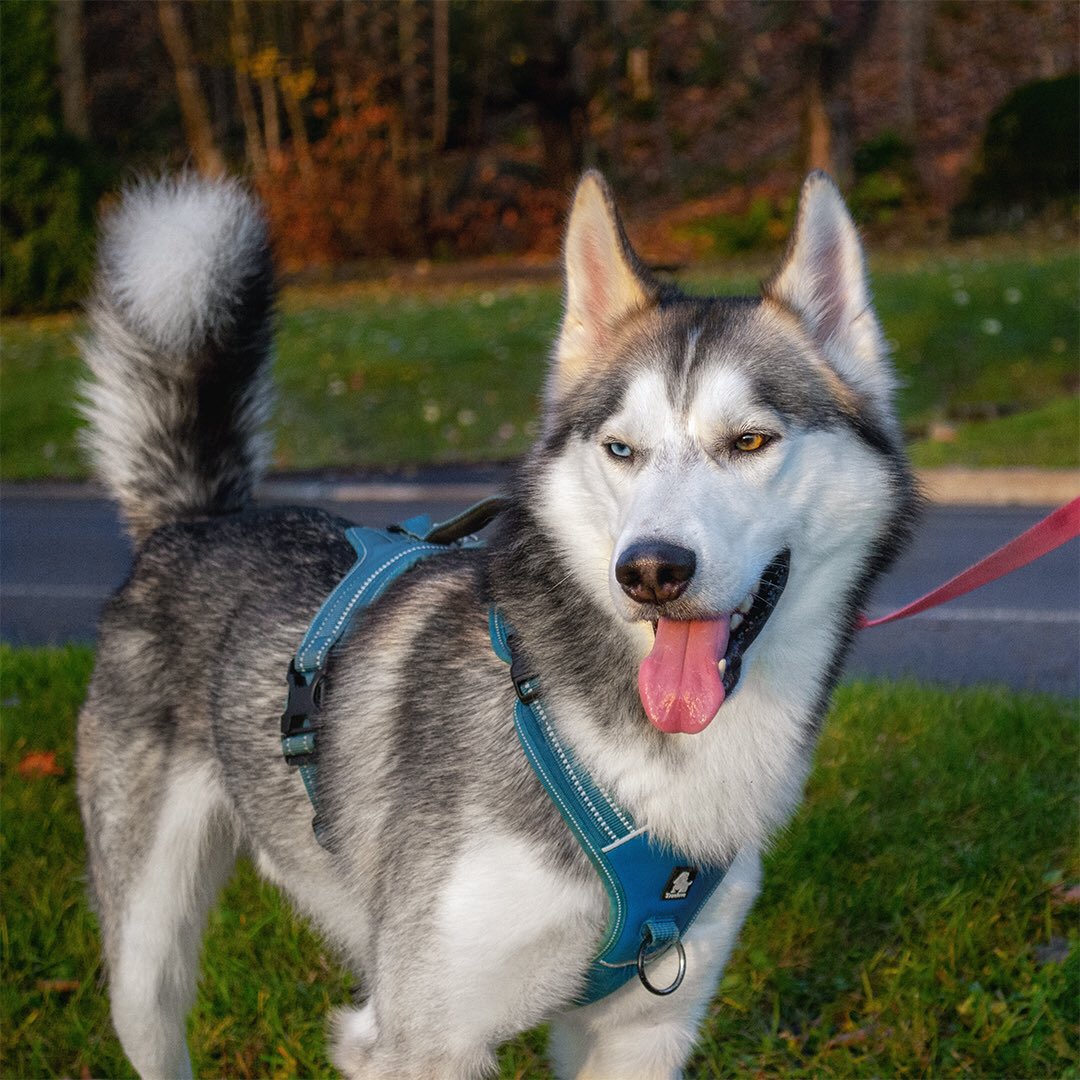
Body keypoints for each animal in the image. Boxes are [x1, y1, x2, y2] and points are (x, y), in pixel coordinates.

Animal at [76, 172, 915, 1075]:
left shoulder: (644, 1030)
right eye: (621, 450)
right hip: (146, 963)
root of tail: (198, 521)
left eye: (751, 441)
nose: (650, 571)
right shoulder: (416, 1035)